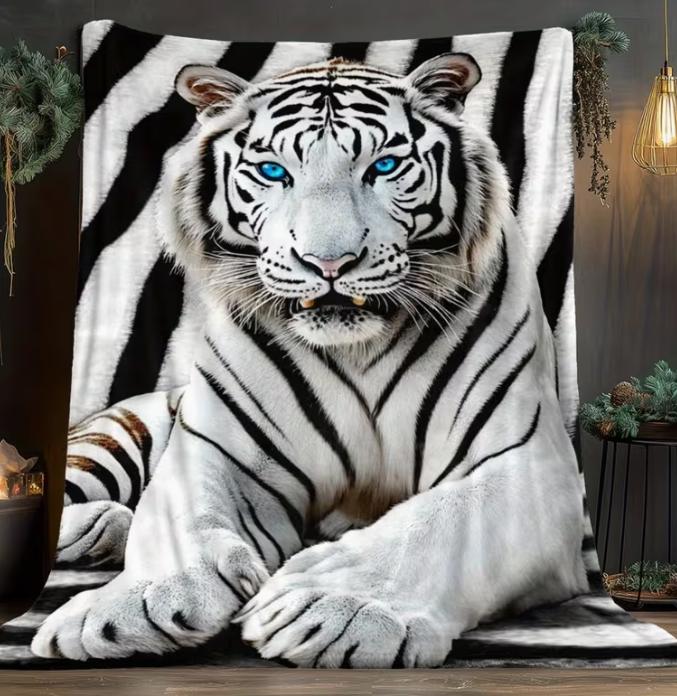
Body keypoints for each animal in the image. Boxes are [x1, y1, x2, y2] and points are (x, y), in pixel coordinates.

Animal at [32, 52, 588, 668]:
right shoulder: (217, 449)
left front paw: (331, 606)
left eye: (384, 166)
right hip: (111, 444)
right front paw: (138, 601)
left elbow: (436, 525)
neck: (359, 350)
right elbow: (179, 514)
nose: (329, 263)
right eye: (274, 172)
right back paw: (106, 525)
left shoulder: (529, 465)